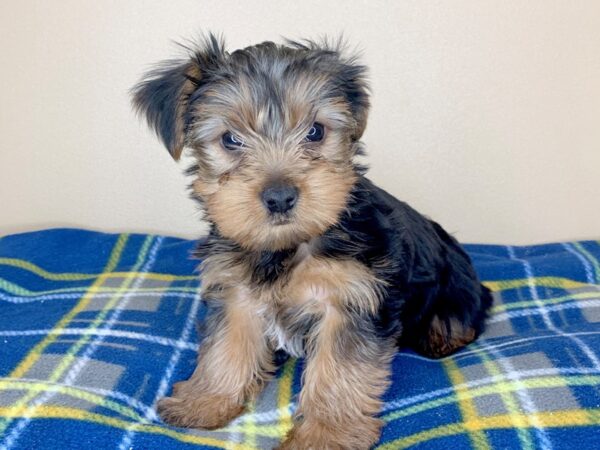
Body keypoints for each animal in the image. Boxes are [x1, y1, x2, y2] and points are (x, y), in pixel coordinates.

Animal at [132, 33, 492, 448]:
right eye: (231, 140)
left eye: (316, 131)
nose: (279, 197)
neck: (287, 247)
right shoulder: (236, 291)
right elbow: (227, 345)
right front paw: (205, 401)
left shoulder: (350, 300)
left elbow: (339, 370)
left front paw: (326, 433)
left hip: (457, 289)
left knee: (464, 316)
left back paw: (442, 335)